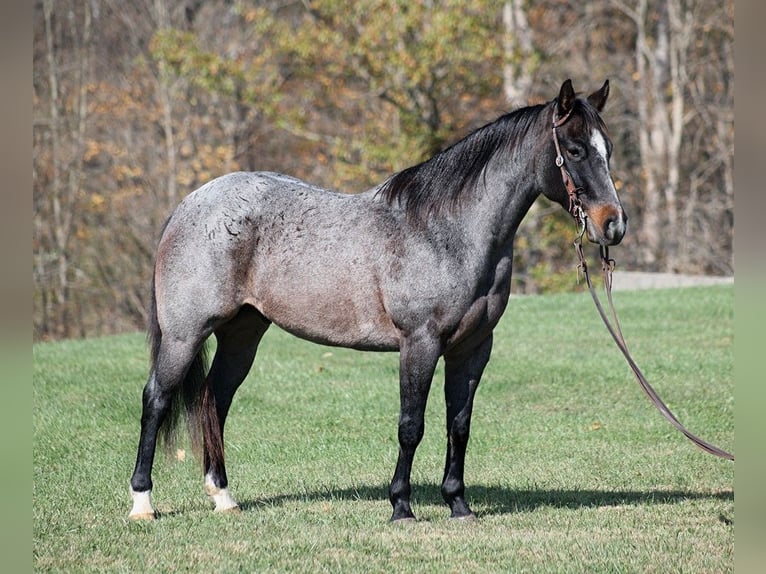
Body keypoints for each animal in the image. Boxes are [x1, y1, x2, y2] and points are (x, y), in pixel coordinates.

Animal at [129, 79, 628, 524]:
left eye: (608, 149)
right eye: (576, 150)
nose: (614, 225)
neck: (447, 231)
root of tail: (190, 204)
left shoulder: (472, 349)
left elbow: (459, 425)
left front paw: (458, 505)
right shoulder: (420, 344)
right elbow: (412, 426)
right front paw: (401, 507)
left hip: (243, 334)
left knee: (215, 400)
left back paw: (223, 497)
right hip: (185, 333)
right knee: (156, 398)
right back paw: (142, 503)